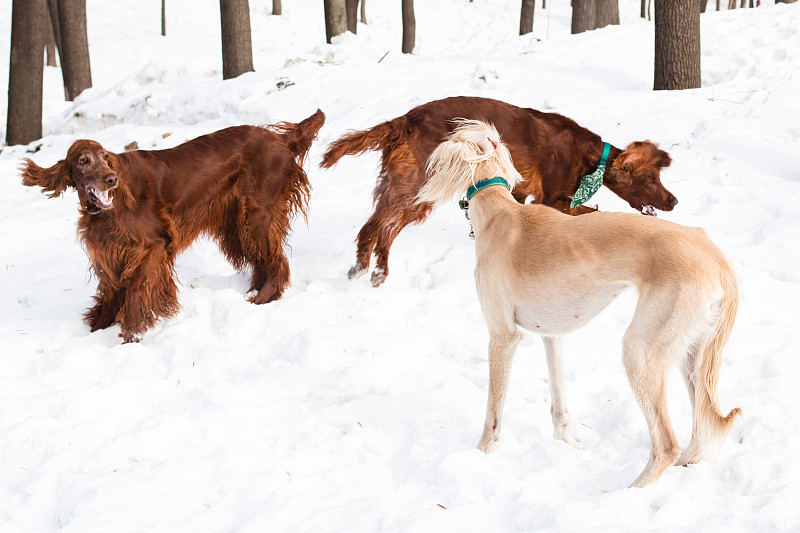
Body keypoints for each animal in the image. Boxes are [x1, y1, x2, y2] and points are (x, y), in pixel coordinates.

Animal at [23, 109, 326, 340]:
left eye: (106, 158)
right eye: (84, 160)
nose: (111, 179)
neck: (110, 209)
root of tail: (280, 138)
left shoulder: (153, 245)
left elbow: (136, 289)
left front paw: (132, 334)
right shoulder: (108, 254)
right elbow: (110, 296)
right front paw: (96, 332)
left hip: (256, 215)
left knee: (276, 260)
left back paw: (262, 298)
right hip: (238, 224)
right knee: (265, 259)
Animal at [318, 95, 676, 286]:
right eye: (651, 180)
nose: (674, 200)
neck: (588, 155)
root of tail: (404, 120)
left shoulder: (523, 194)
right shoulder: (553, 199)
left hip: (412, 190)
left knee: (380, 227)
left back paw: (371, 270)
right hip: (416, 186)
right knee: (378, 226)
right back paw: (370, 268)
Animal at [418, 120, 744, 486]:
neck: (498, 212)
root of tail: (716, 257)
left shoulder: (503, 337)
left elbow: (493, 414)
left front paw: (481, 456)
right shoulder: (552, 335)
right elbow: (559, 402)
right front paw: (568, 444)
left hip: (641, 350)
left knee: (666, 445)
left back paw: (629, 491)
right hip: (692, 353)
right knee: (700, 428)